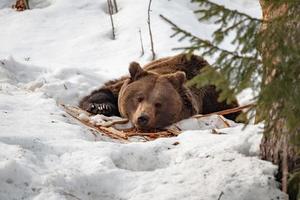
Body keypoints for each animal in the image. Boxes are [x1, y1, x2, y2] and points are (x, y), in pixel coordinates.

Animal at [79, 54, 239, 130]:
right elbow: (105, 92)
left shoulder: (214, 99)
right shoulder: (119, 88)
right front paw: (101, 107)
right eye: (139, 98)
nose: (143, 118)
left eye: (158, 103)